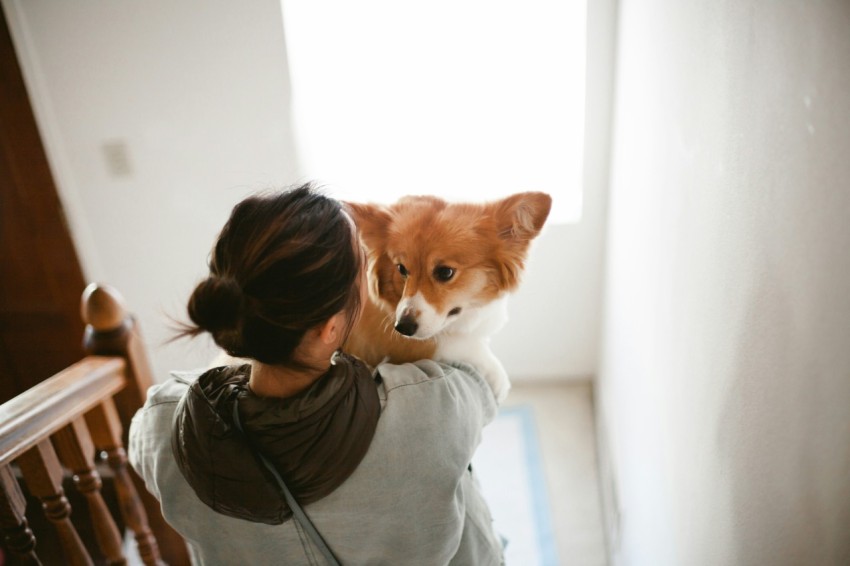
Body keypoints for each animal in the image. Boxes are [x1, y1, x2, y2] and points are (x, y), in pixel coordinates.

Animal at [344, 193, 548, 402]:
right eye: (401, 269)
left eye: (445, 272)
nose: (402, 327)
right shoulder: (397, 338)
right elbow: (452, 343)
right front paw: (498, 377)